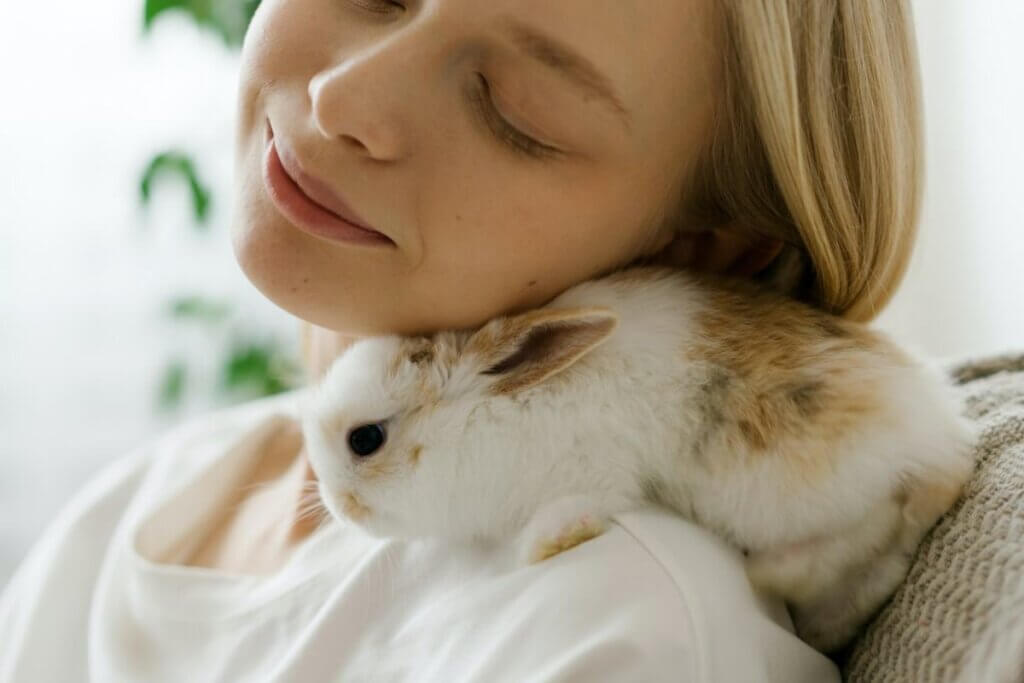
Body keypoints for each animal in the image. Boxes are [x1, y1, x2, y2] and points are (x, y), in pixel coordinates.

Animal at [299, 264, 974, 655]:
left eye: (365, 440)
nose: (339, 506)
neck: (480, 420)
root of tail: (947, 445)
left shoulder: (594, 468)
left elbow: (587, 503)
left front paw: (547, 541)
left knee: (876, 525)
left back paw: (771, 573)